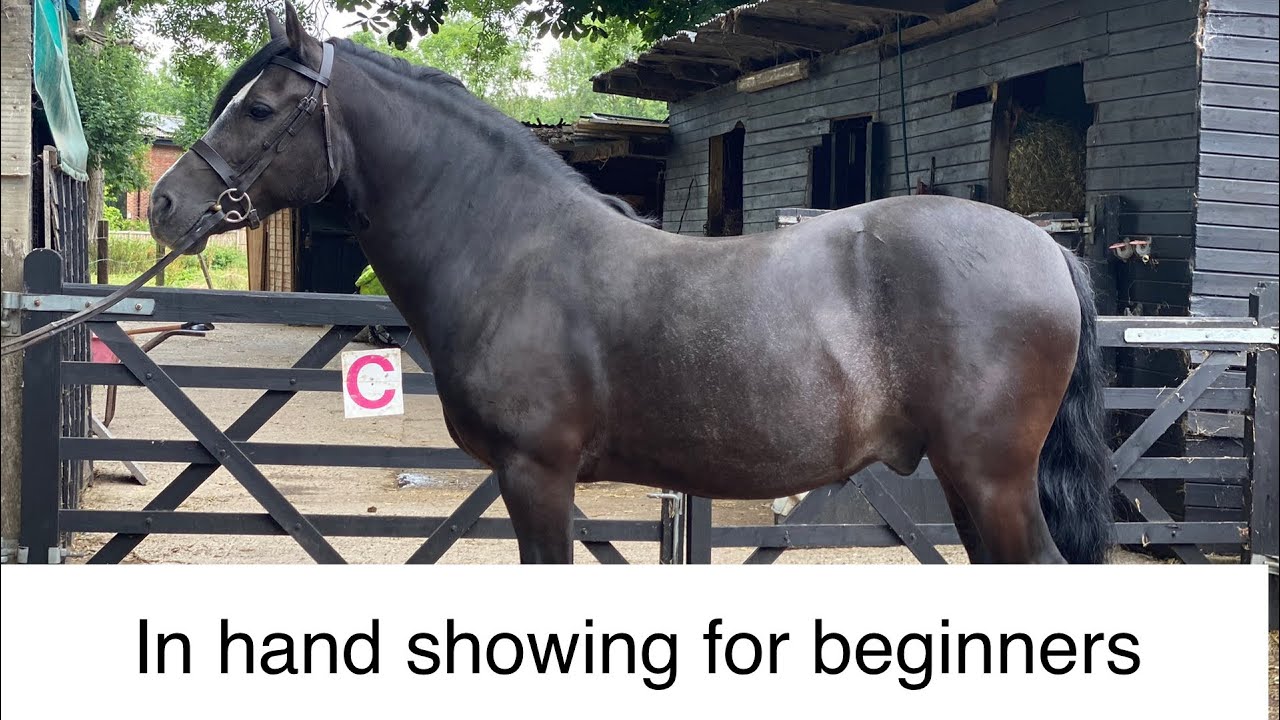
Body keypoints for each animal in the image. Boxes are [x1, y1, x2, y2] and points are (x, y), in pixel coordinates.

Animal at [148, 3, 1113, 564]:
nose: (164, 204)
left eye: (259, 109)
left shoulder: (535, 477)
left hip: (990, 478)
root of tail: (1042, 247)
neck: (511, 250)